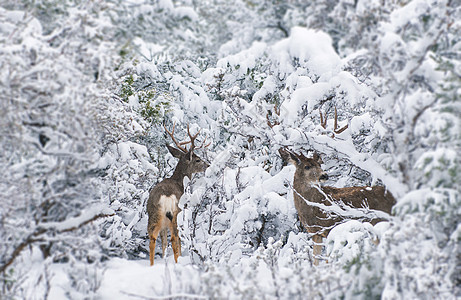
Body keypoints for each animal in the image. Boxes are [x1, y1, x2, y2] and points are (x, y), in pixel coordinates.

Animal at [146, 123, 209, 266]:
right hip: (176, 215)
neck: (179, 182)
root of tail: (166, 196)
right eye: (198, 160)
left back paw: (152, 265)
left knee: (153, 238)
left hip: (154, 214)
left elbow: (164, 243)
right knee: (175, 238)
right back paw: (178, 262)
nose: (208, 165)